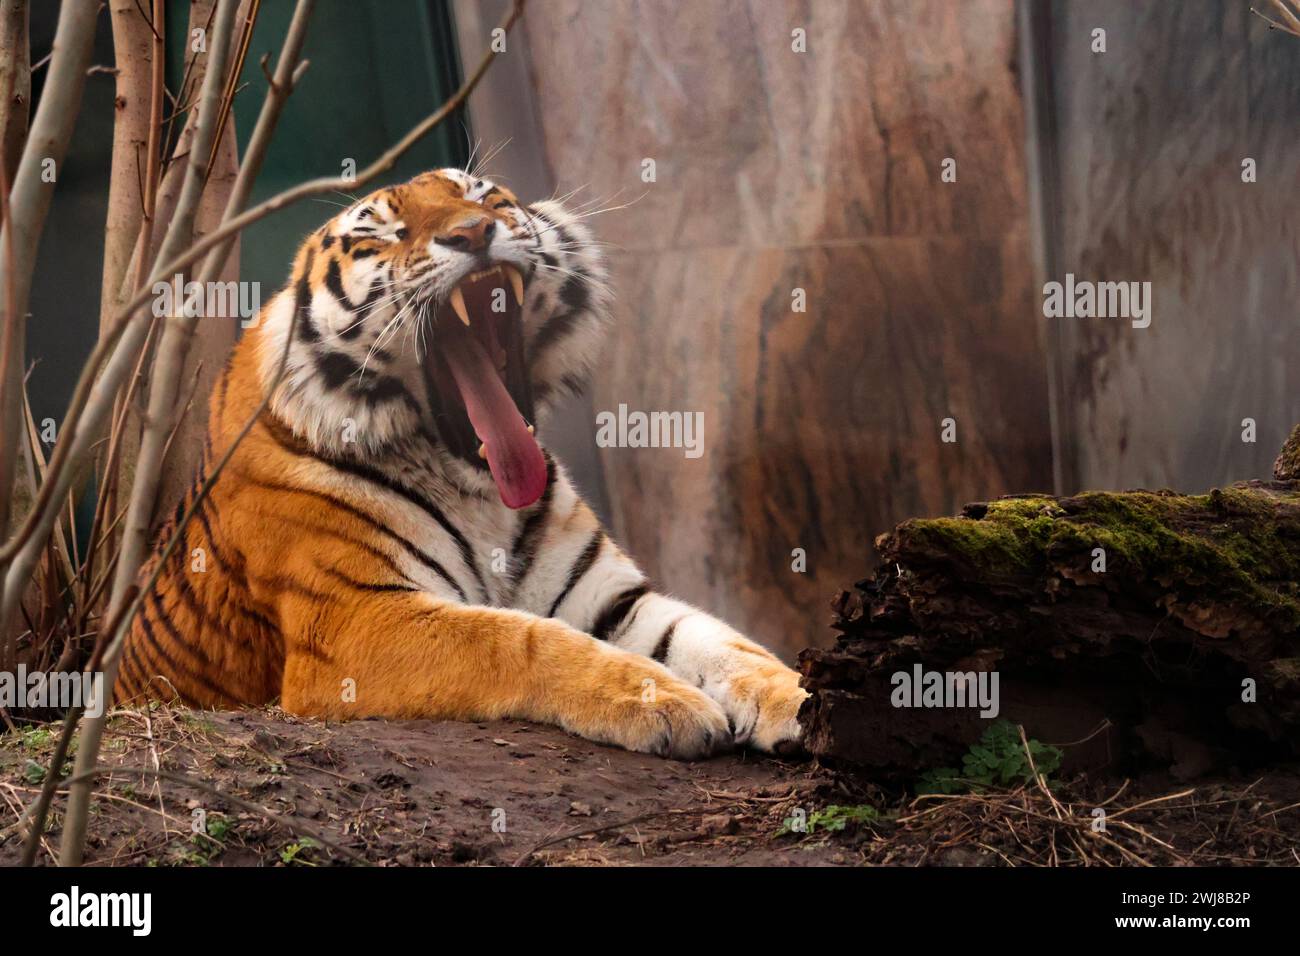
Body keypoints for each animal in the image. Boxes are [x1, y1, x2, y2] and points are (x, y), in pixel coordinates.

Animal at [119, 167, 811, 759]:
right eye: (383, 233)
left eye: (482, 196)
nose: (474, 232)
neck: (479, 495)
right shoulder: (354, 620)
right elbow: (517, 638)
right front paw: (664, 699)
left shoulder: (611, 597)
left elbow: (722, 641)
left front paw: (803, 698)